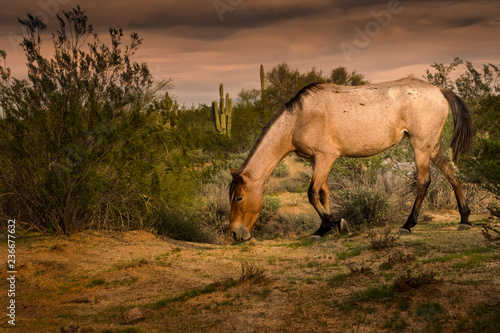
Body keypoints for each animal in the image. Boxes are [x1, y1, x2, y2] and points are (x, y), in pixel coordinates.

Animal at [230, 76, 472, 240]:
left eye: (239, 197)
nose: (235, 233)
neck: (298, 118)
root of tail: (439, 90)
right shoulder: (317, 161)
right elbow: (324, 193)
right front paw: (324, 228)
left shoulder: (325, 157)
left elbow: (312, 194)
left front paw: (334, 224)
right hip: (433, 147)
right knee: (452, 174)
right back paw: (464, 219)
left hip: (420, 146)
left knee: (423, 182)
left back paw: (407, 225)